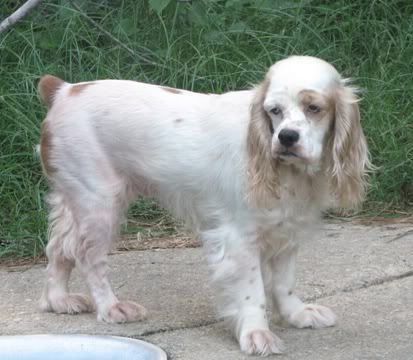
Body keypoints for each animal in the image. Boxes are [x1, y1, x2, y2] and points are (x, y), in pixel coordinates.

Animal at [36, 56, 370, 354]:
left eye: (314, 108)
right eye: (274, 111)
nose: (286, 137)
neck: (290, 173)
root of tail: (63, 90)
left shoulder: (287, 230)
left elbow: (284, 282)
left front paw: (296, 314)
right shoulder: (237, 238)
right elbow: (253, 292)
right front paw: (257, 334)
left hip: (75, 198)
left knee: (58, 247)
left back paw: (59, 300)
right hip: (101, 202)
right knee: (87, 256)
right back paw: (111, 307)